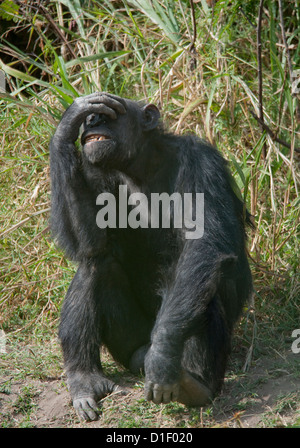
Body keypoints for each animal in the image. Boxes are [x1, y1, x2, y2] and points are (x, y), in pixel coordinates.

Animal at [49, 93, 253, 422]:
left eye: (113, 113)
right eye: (94, 116)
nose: (93, 119)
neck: (141, 166)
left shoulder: (201, 161)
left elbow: (204, 244)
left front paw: (162, 358)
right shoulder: (94, 170)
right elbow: (92, 243)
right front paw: (68, 122)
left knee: (200, 288)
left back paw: (195, 384)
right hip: (129, 346)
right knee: (98, 264)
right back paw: (84, 377)